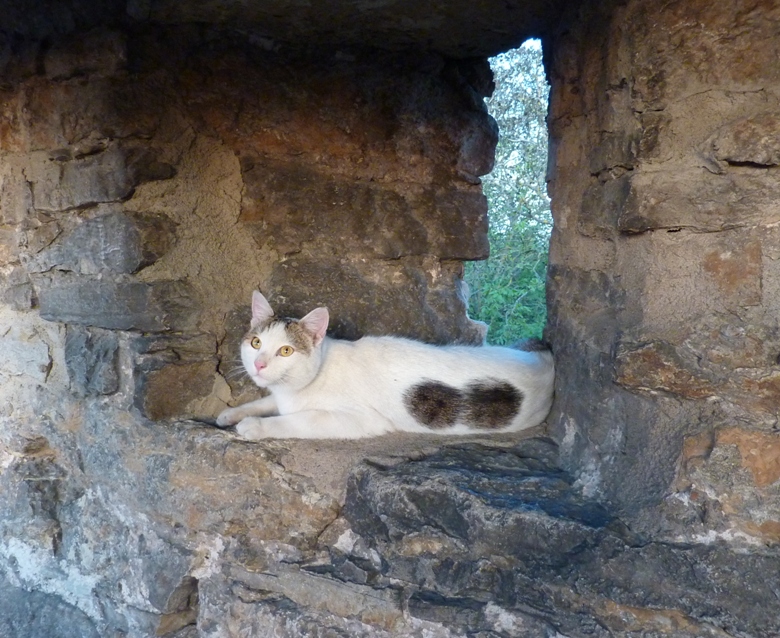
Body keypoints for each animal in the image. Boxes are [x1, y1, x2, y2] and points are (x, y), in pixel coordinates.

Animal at [215, 294, 556, 440]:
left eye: (286, 350)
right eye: (256, 343)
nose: (259, 364)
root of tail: (547, 361)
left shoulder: (359, 419)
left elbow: (300, 420)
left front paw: (255, 427)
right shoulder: (279, 394)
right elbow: (264, 401)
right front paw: (231, 414)